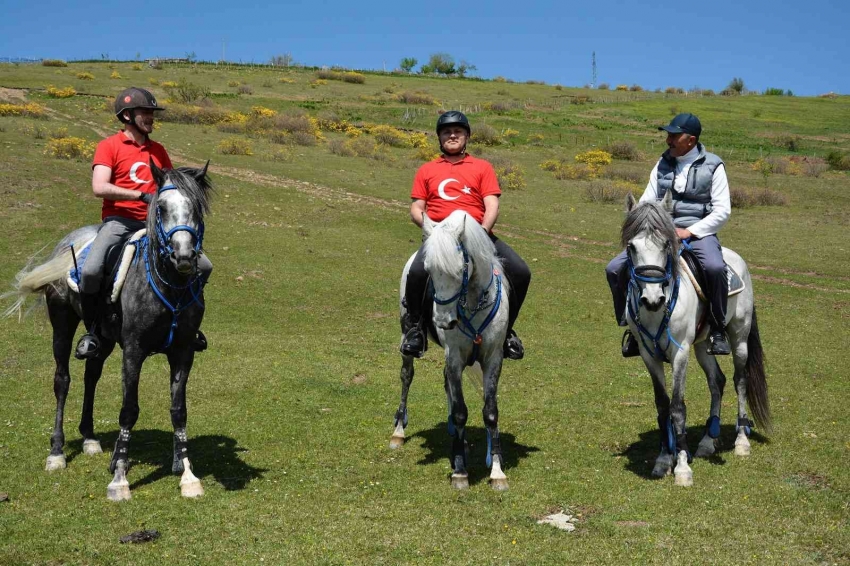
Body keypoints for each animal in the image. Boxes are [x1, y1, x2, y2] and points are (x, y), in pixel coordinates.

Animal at [3, 163, 214, 502]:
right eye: (161, 208)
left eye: (195, 207)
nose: (183, 257)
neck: (170, 286)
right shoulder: (133, 351)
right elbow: (128, 410)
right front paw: (120, 480)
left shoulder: (183, 352)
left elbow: (179, 411)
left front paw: (187, 475)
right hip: (62, 325)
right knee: (62, 381)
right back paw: (57, 453)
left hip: (102, 337)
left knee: (91, 375)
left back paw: (90, 439)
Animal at [390, 211, 510, 490]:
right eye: (428, 271)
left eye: (460, 270)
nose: (443, 321)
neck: (473, 303)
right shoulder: (454, 356)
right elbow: (460, 411)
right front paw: (460, 472)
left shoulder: (493, 358)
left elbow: (490, 411)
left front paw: (497, 471)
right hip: (406, 336)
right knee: (406, 377)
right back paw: (399, 431)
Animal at [624, 192, 768, 488]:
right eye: (631, 246)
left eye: (666, 243)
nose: (653, 299)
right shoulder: (648, 354)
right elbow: (662, 406)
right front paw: (663, 460)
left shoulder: (680, 352)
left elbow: (678, 407)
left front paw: (681, 467)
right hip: (703, 345)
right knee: (717, 381)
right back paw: (707, 441)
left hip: (739, 338)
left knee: (740, 381)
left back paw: (741, 441)